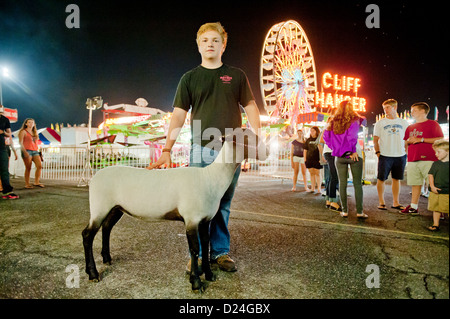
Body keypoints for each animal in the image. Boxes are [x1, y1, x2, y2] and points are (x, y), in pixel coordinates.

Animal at [81, 129, 268, 292]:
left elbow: (206, 244)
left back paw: (107, 259)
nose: (267, 152)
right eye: (247, 138)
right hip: (99, 206)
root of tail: (94, 177)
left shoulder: (204, 219)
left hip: (115, 208)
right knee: (88, 235)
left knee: (106, 228)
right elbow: (195, 249)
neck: (210, 178)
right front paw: (196, 283)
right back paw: (93, 273)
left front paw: (209, 275)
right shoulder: (191, 218)